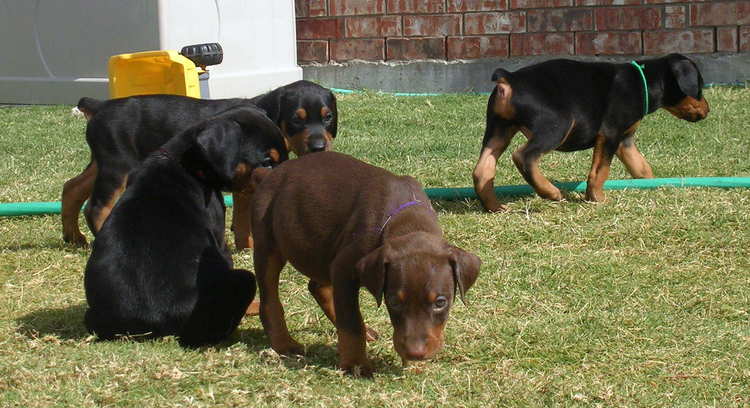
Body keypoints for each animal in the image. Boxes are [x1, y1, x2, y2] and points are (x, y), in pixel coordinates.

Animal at [61, 79, 338, 245]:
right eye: (296, 119)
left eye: (328, 118)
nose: (319, 147)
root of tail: (100, 106)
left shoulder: (246, 180)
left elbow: (242, 218)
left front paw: (245, 247)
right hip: (118, 165)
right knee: (96, 206)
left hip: (102, 160)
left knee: (72, 187)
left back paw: (73, 237)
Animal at [83, 106, 286, 348]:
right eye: (266, 162)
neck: (187, 163)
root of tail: (154, 325)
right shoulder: (219, 238)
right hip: (241, 280)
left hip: (93, 316)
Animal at [254, 151, 482, 378]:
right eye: (393, 301)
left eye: (441, 302)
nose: (415, 353)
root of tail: (269, 174)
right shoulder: (344, 270)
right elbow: (351, 323)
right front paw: (356, 364)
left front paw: (414, 364)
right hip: (268, 244)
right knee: (270, 298)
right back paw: (284, 343)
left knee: (317, 286)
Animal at [476, 53, 712, 212]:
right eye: (700, 86)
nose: (708, 110)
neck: (643, 81)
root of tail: (510, 78)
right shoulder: (610, 134)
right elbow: (600, 171)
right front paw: (597, 198)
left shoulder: (625, 141)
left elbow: (641, 167)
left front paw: (650, 185)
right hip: (557, 124)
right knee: (523, 156)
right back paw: (551, 192)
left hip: (498, 130)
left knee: (482, 170)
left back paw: (495, 207)